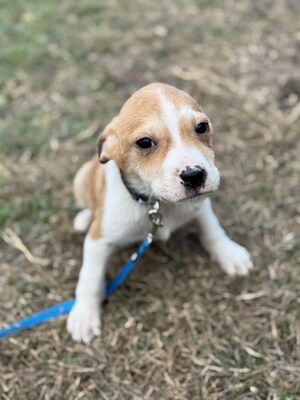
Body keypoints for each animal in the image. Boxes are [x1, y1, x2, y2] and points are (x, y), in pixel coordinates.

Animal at [67, 83, 252, 342]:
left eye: (202, 127)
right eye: (144, 142)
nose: (194, 175)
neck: (159, 205)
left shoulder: (200, 206)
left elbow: (212, 229)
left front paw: (229, 253)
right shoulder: (98, 240)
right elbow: (90, 278)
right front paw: (84, 315)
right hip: (82, 177)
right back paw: (84, 218)